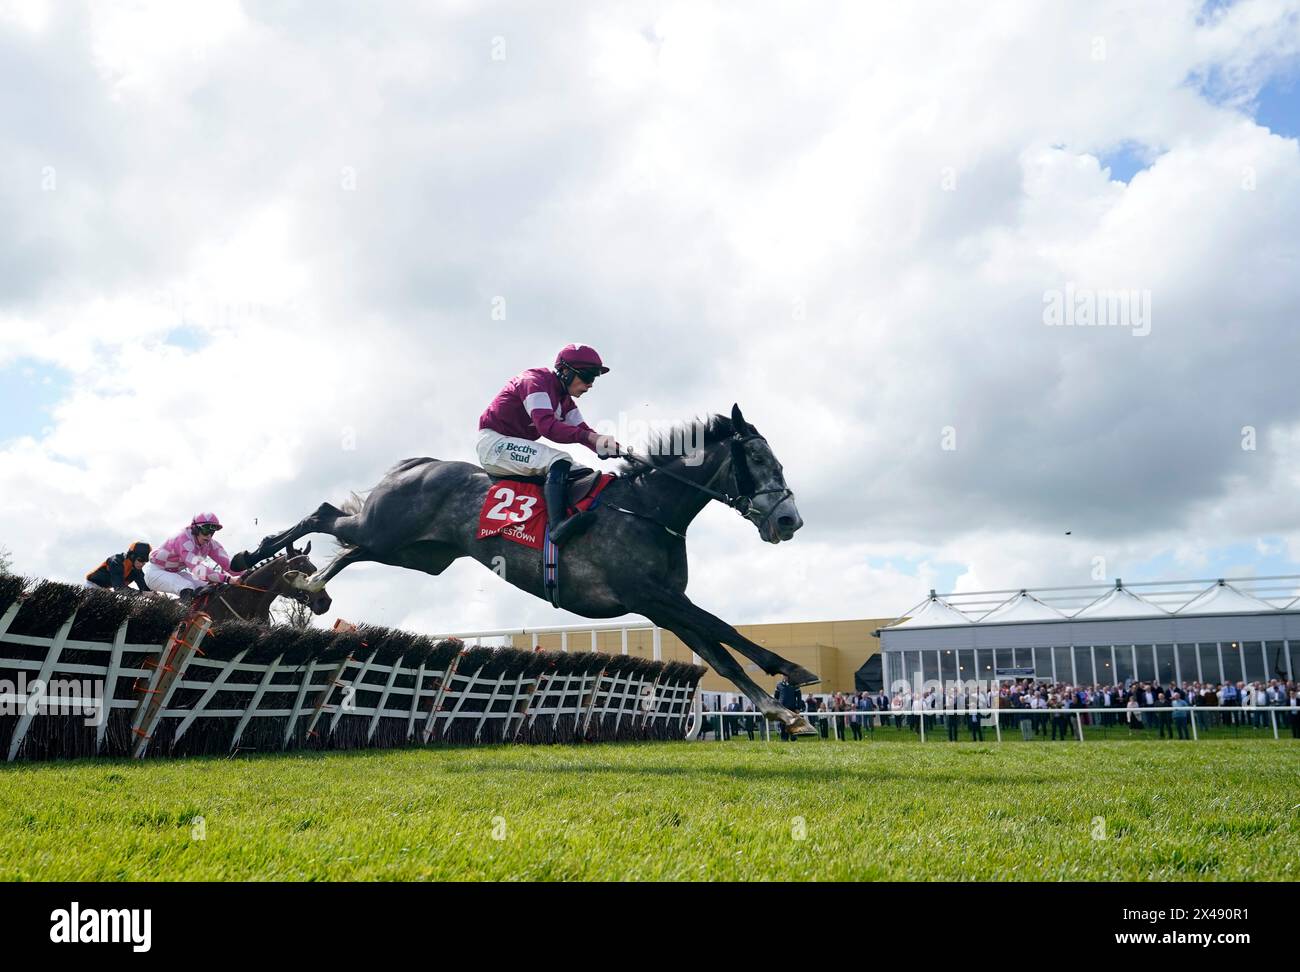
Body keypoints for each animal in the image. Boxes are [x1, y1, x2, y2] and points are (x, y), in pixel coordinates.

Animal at [240, 405, 816, 732]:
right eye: (759, 460)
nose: (790, 519)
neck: (648, 508)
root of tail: (420, 465)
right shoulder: (651, 595)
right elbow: (724, 630)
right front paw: (793, 673)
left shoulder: (663, 606)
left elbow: (719, 653)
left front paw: (782, 712)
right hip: (388, 530)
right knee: (326, 515)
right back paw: (260, 558)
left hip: (415, 553)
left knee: (349, 547)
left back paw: (306, 583)